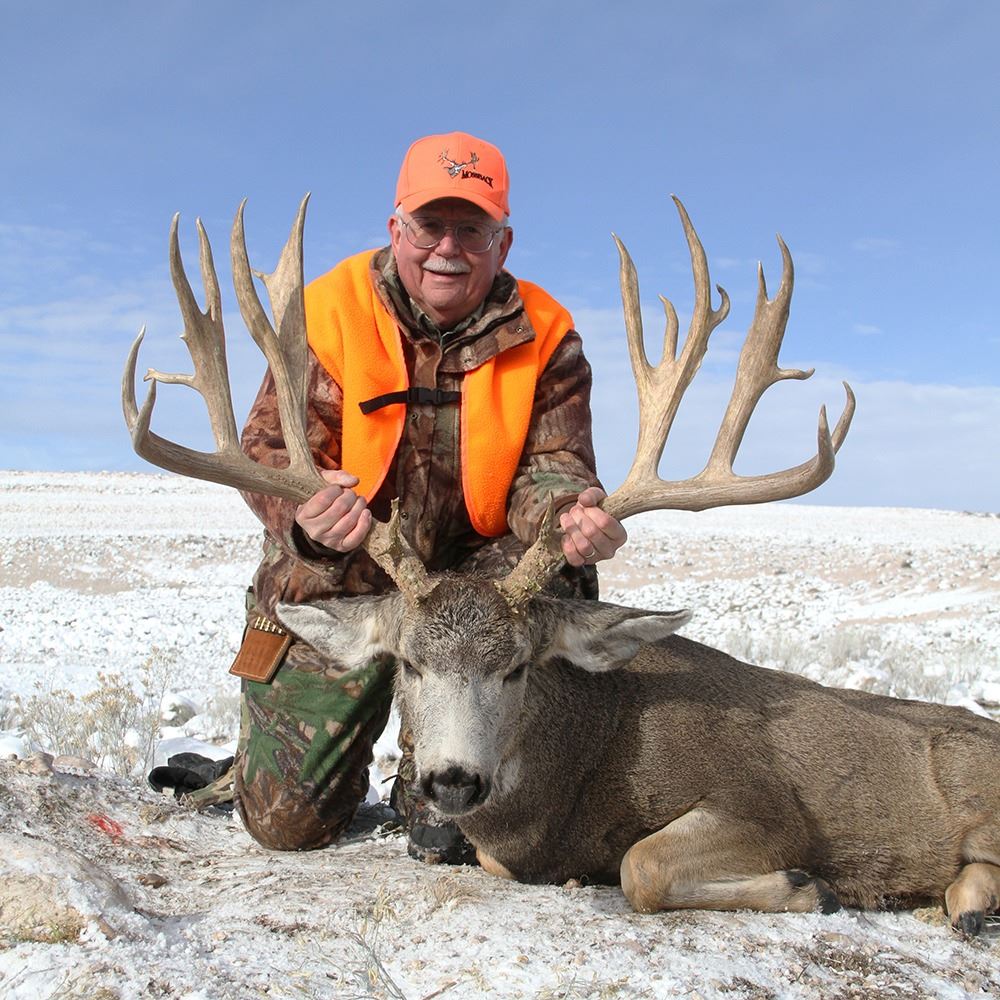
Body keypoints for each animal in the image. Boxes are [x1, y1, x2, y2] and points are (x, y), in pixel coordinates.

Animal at [123, 195, 1000, 936]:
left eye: (517, 668)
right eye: (408, 662)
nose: (451, 781)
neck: (572, 780)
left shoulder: (764, 802)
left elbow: (642, 864)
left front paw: (809, 885)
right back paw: (961, 901)